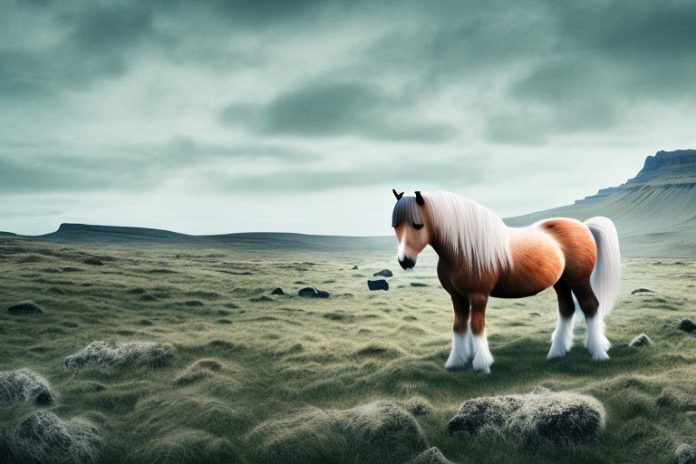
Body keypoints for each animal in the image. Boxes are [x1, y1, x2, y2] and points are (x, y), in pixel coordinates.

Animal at [391, 189, 621, 373]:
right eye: (395, 226)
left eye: (418, 225)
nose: (405, 261)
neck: (463, 249)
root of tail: (584, 226)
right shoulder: (457, 297)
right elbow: (459, 327)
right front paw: (456, 362)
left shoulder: (479, 296)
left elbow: (476, 326)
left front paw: (482, 365)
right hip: (561, 282)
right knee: (567, 309)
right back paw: (556, 353)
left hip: (579, 281)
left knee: (590, 306)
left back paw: (598, 353)